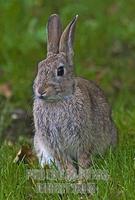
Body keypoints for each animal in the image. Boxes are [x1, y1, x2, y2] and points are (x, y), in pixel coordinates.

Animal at [32, 14, 117, 176]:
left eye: (60, 71)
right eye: (39, 67)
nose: (40, 90)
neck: (58, 100)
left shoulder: (83, 137)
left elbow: (83, 158)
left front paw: (82, 176)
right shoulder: (54, 143)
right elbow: (64, 161)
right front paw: (71, 176)